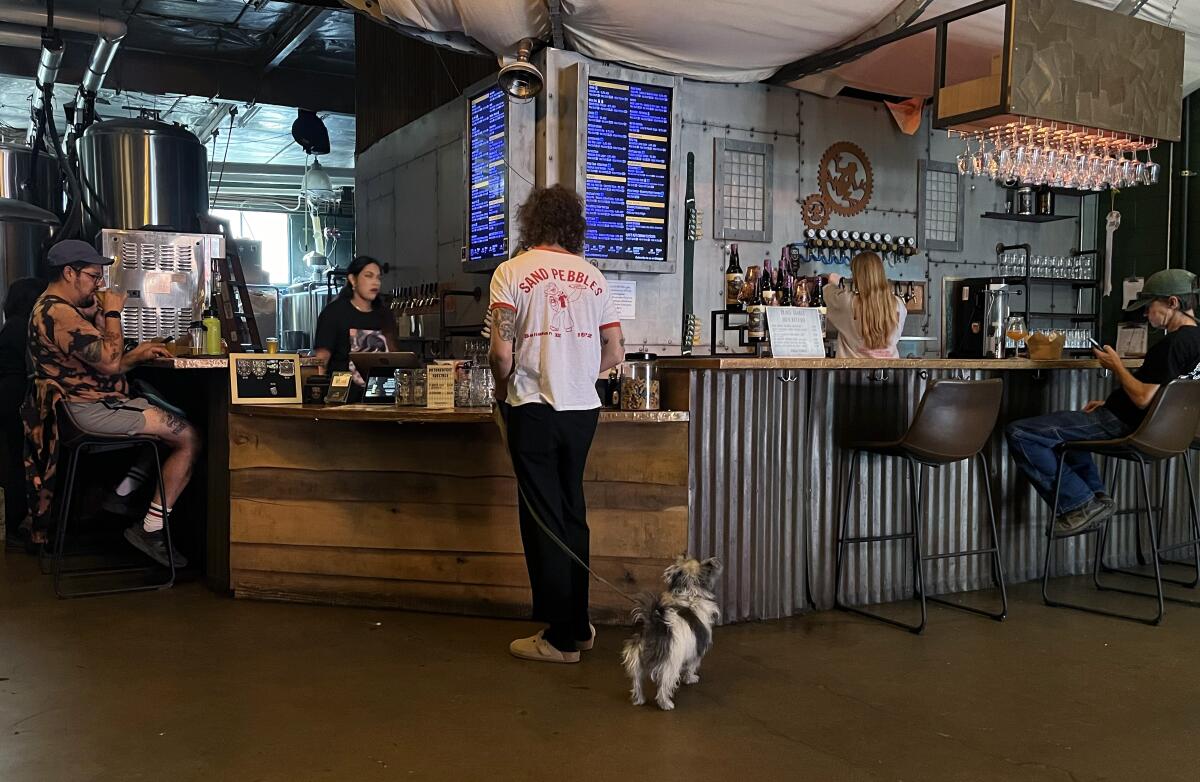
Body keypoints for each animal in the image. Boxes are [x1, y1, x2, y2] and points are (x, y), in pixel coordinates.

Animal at [619, 556, 720, 710]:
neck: (690, 594)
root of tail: (654, 627)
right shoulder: (696, 651)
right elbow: (691, 666)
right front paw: (690, 678)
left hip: (636, 661)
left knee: (637, 682)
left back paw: (639, 699)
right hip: (670, 665)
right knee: (663, 686)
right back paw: (666, 704)